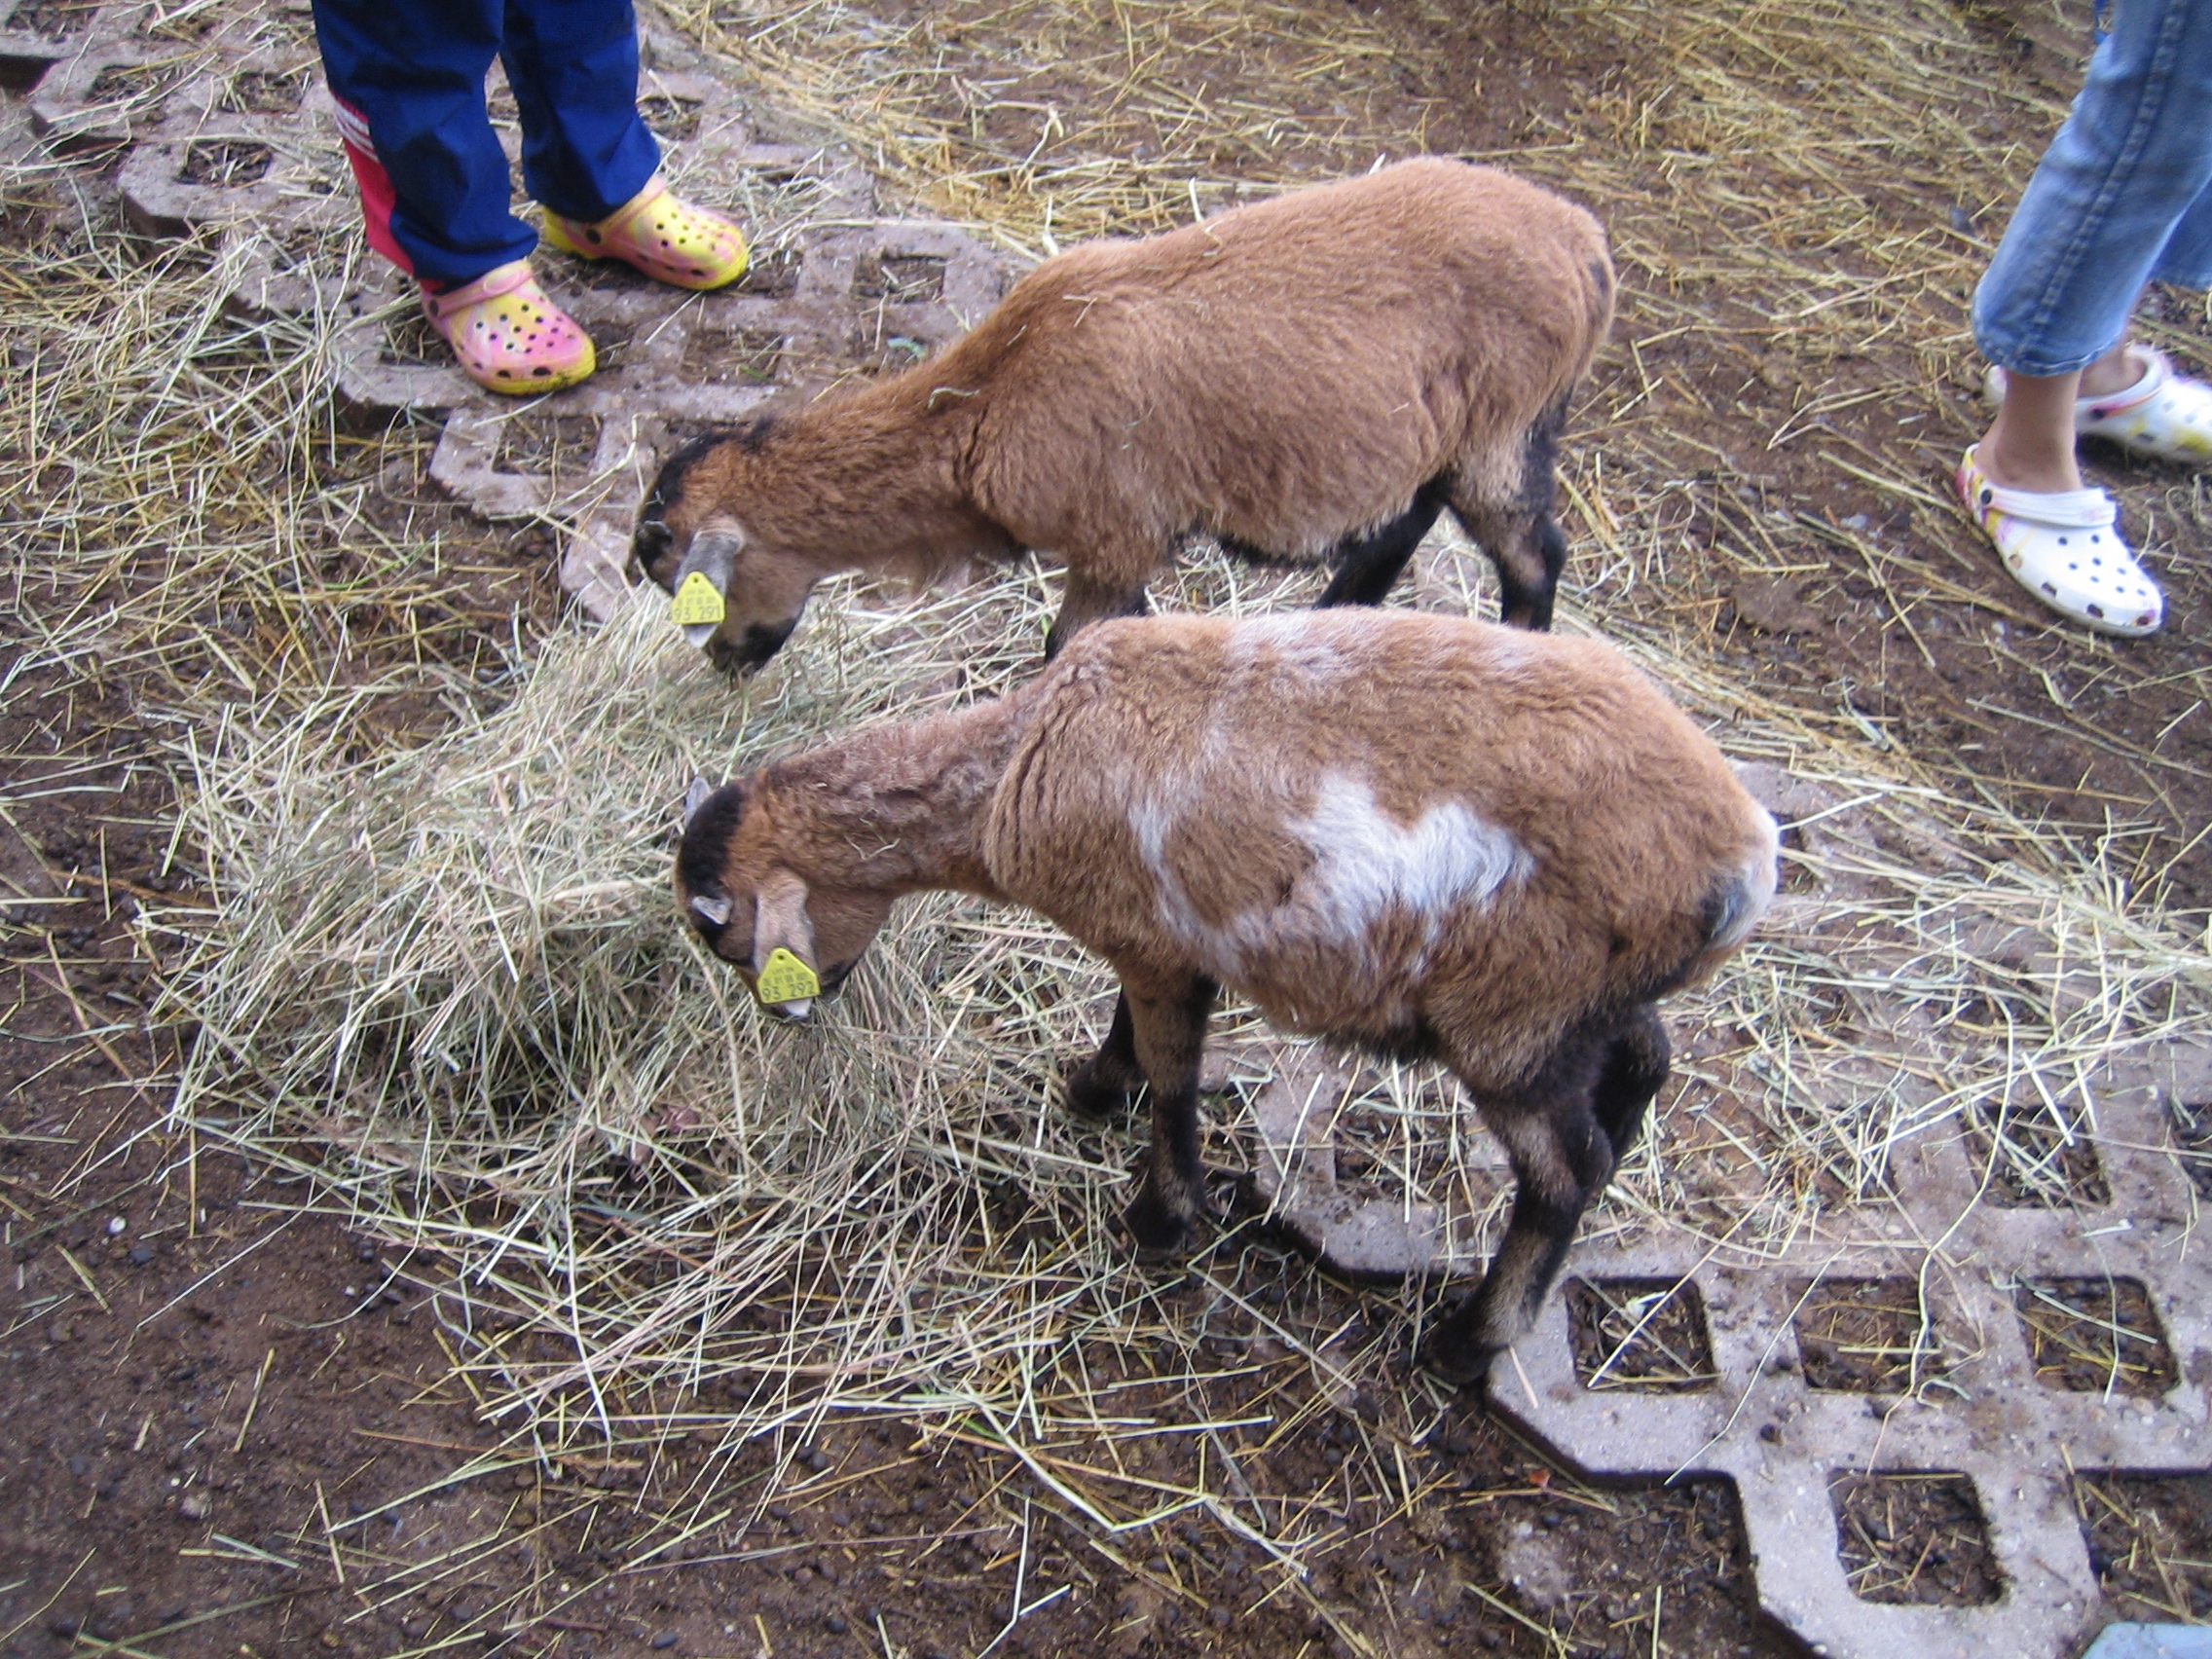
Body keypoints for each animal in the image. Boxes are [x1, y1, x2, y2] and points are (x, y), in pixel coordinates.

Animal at [635, 158, 1614, 671]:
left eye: (686, 583)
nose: (725, 667)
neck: (985, 403)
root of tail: (1582, 240)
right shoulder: (1123, 546)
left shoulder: (1115, 536)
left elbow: (1068, 645)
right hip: (1428, 443)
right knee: (1398, 527)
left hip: (1506, 427)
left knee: (1534, 557)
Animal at [673, 611, 1776, 1382]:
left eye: (718, 933)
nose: (787, 1014)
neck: (1010, 767)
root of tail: (1741, 859)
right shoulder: (1158, 940)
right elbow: (1134, 1036)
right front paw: (1094, 1089)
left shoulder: (1154, 945)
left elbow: (1172, 1077)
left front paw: (1160, 1219)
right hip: (1580, 999)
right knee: (1644, 1064)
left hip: (1512, 1015)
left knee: (1565, 1171)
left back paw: (1471, 1345)